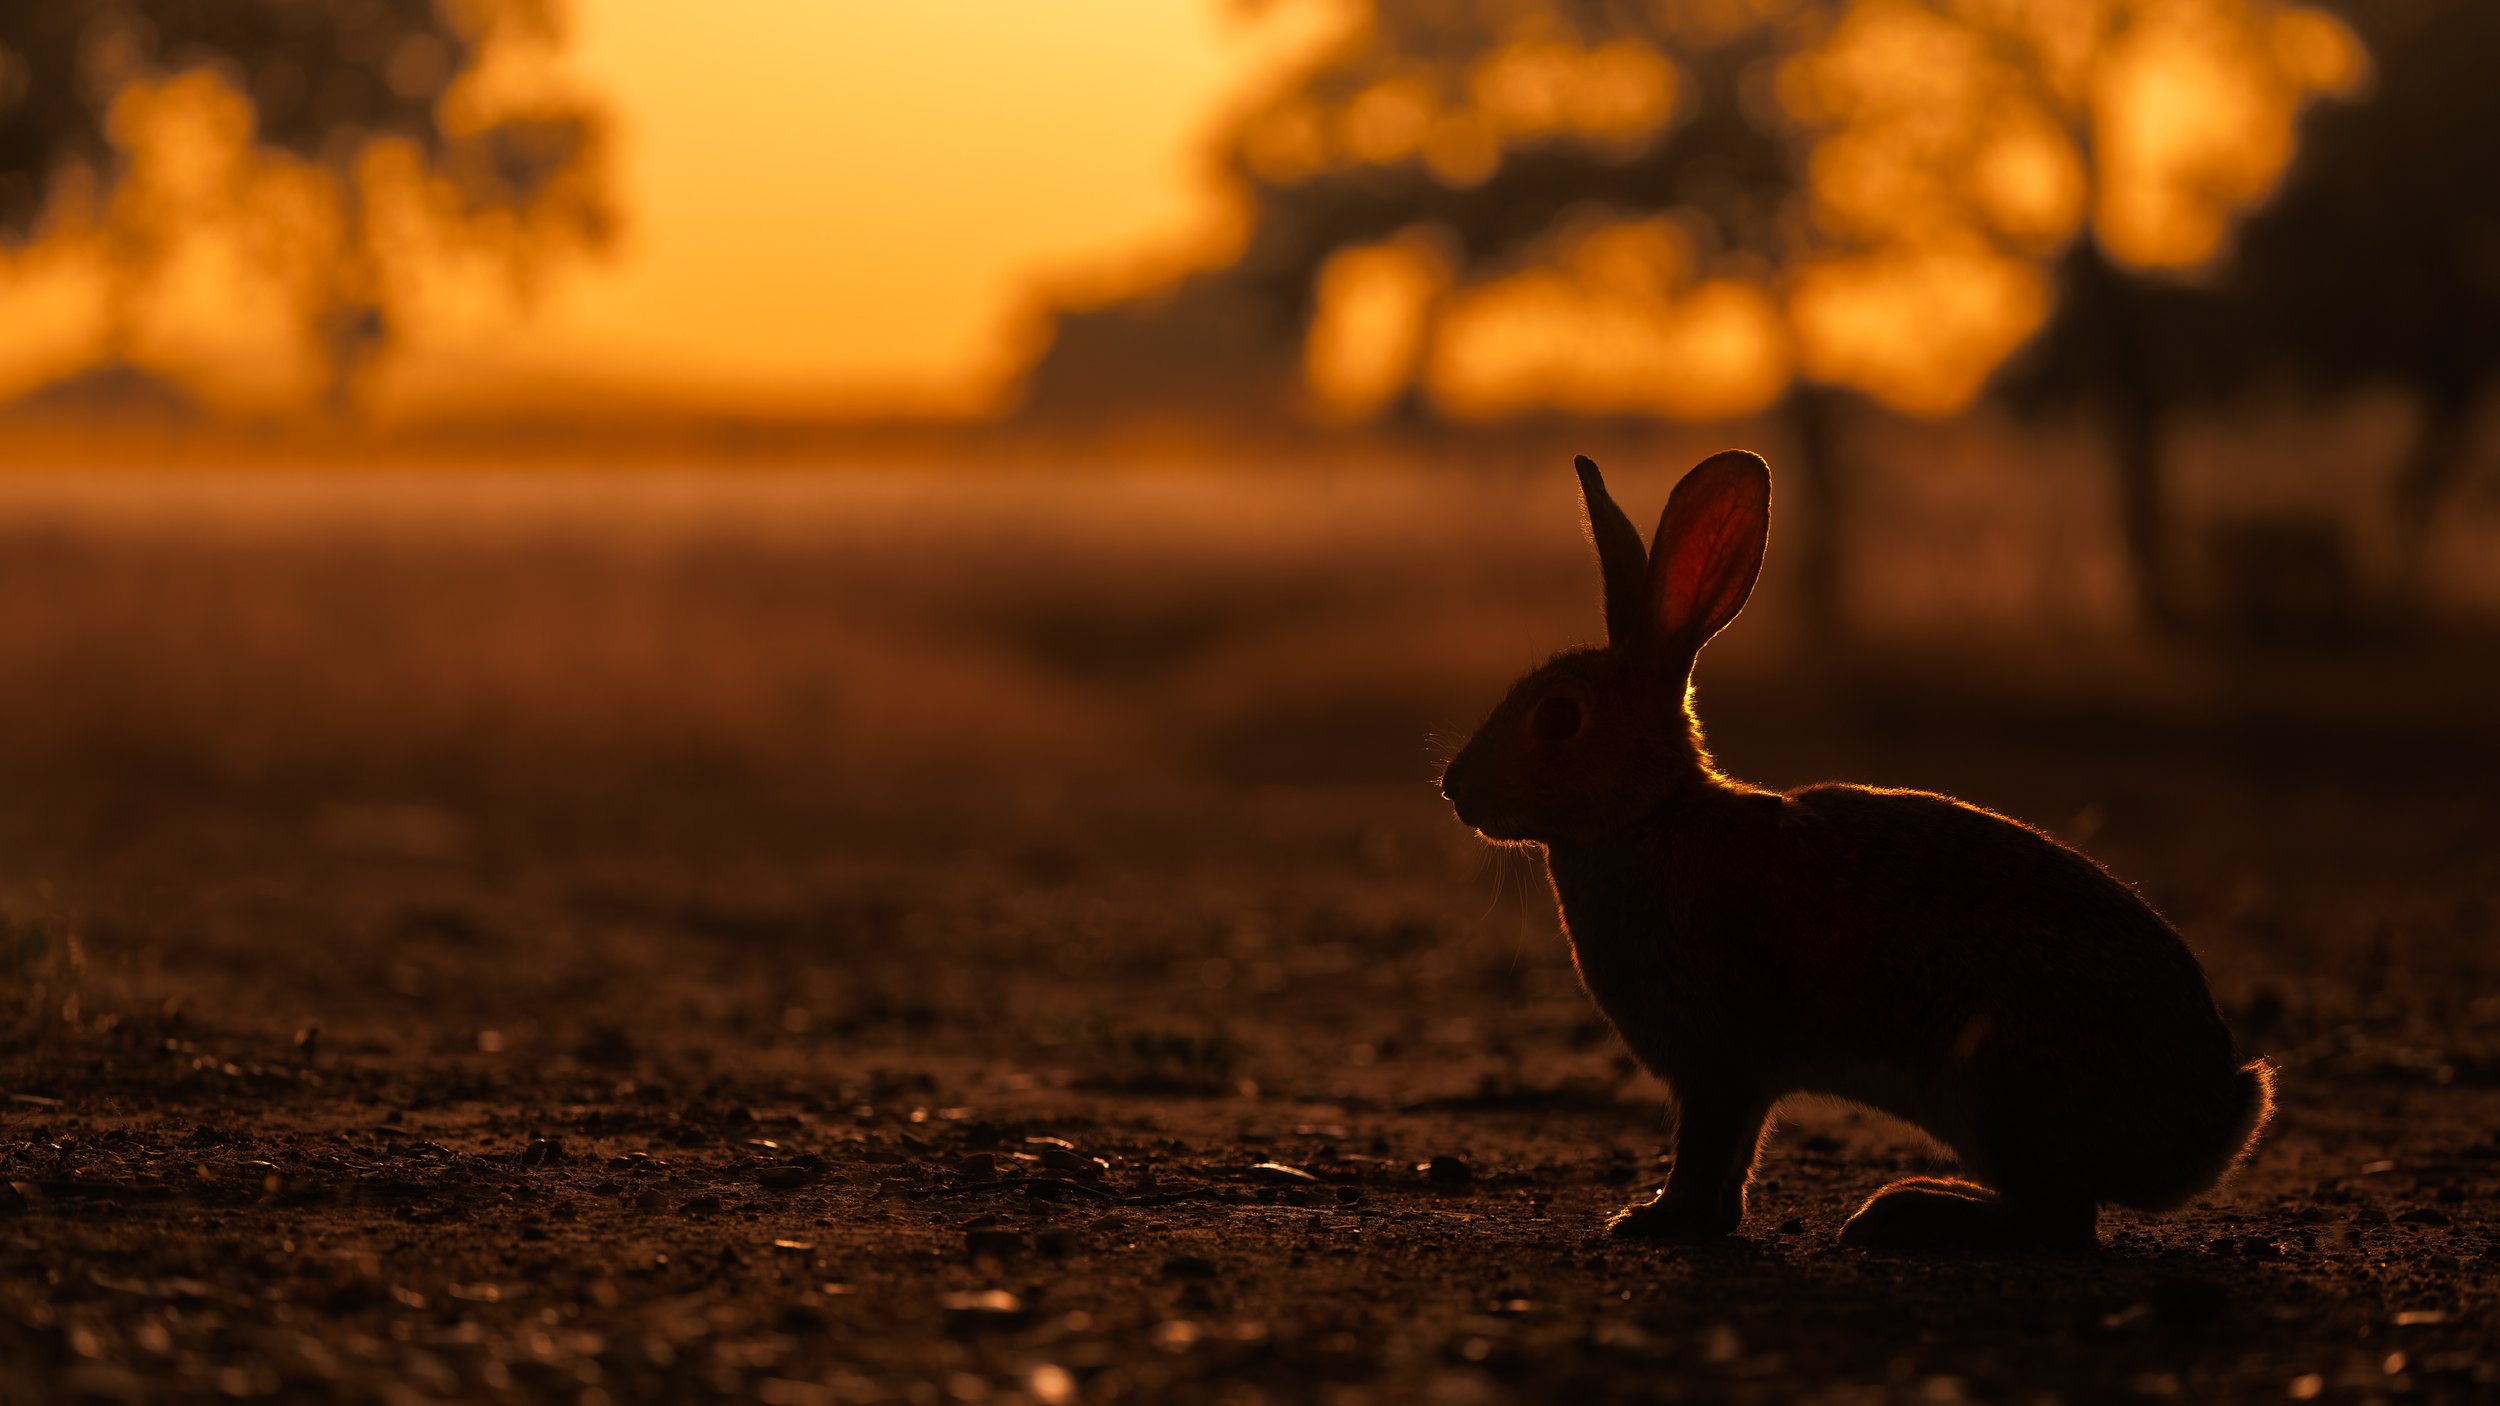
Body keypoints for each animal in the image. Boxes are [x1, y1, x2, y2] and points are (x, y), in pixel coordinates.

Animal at [1438, 450, 2273, 1250]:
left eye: (1558, 717)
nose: (1455, 787)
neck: (1650, 817)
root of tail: (2202, 1133)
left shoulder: (1719, 1059)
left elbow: (1705, 1151)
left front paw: (1653, 1221)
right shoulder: (1741, 1078)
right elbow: (1732, 1161)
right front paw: (1701, 1219)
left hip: (2003, 1085)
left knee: (2059, 1223)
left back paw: (1908, 1214)